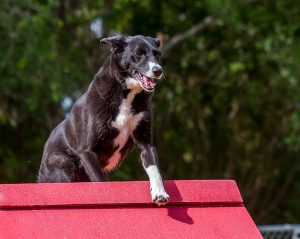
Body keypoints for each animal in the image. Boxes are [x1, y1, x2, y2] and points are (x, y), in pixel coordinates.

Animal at [37, 34, 169, 204]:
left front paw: (160, 192)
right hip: (62, 169)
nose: (158, 70)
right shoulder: (87, 151)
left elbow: (154, 169)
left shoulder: (145, 142)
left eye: (157, 54)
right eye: (139, 54)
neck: (126, 93)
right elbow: (101, 181)